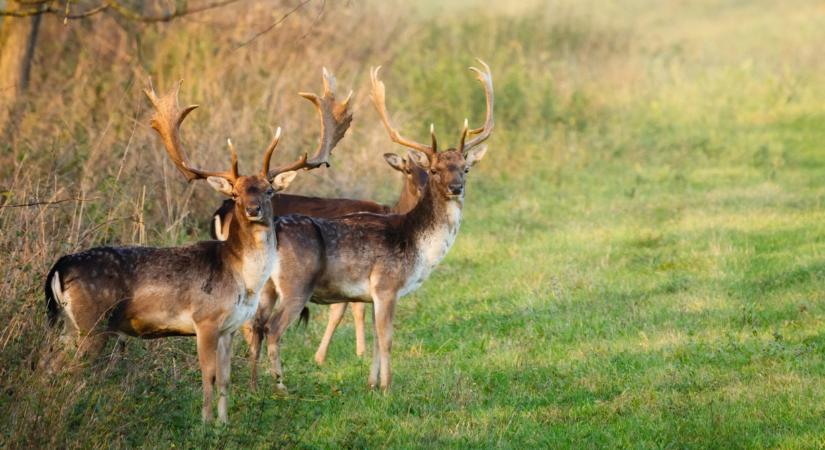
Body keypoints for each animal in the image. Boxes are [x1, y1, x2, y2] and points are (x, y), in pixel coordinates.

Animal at [42, 70, 350, 422]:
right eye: (236, 193)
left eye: (269, 190)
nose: (253, 209)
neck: (242, 279)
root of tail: (60, 266)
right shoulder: (205, 319)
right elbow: (208, 375)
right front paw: (205, 422)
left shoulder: (230, 327)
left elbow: (225, 377)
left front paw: (224, 422)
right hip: (91, 322)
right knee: (68, 370)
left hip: (68, 325)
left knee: (50, 365)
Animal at [246, 59, 496, 390]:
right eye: (434, 169)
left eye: (465, 168)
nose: (456, 187)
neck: (418, 248)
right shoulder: (387, 284)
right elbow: (387, 339)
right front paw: (388, 387)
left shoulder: (375, 295)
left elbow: (377, 339)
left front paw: (372, 384)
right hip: (296, 285)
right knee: (272, 329)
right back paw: (280, 386)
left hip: (266, 288)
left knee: (256, 326)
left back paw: (254, 385)